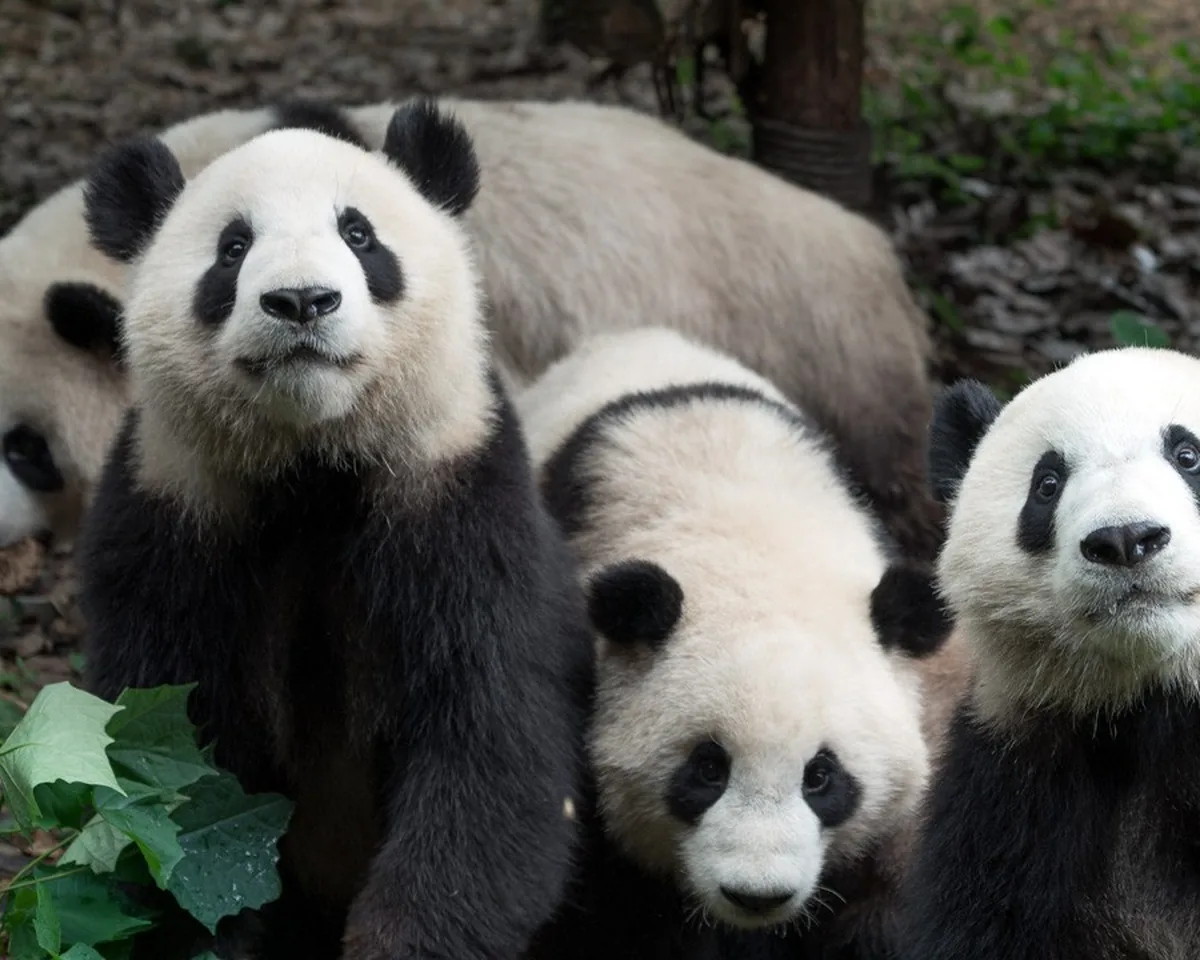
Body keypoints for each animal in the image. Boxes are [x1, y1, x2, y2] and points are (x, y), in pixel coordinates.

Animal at [74, 101, 595, 960]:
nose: (301, 302)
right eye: (232, 249)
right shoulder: (174, 516)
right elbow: (172, 775)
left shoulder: (457, 499)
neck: (312, 463)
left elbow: (487, 744)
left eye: (359, 234)